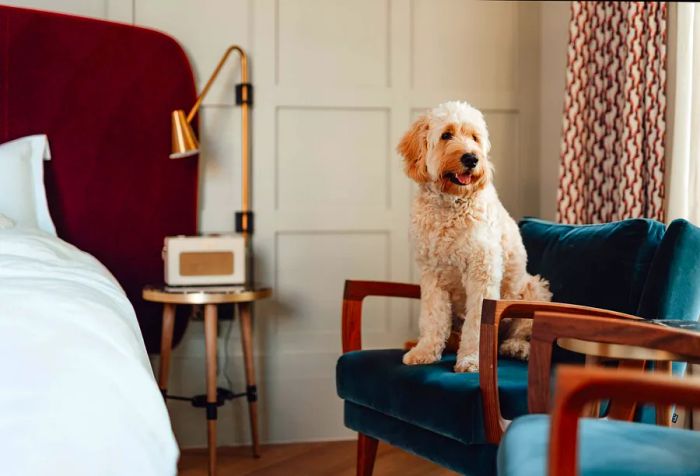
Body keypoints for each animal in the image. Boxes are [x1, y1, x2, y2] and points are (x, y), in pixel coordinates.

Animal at [396, 102, 548, 374]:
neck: (451, 203)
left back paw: (515, 347)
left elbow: (477, 323)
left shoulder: (482, 272)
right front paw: (425, 351)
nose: (471, 158)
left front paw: (471, 360)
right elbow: (433, 318)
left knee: (520, 333)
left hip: (533, 288)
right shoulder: (432, 275)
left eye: (475, 138)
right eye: (446, 135)